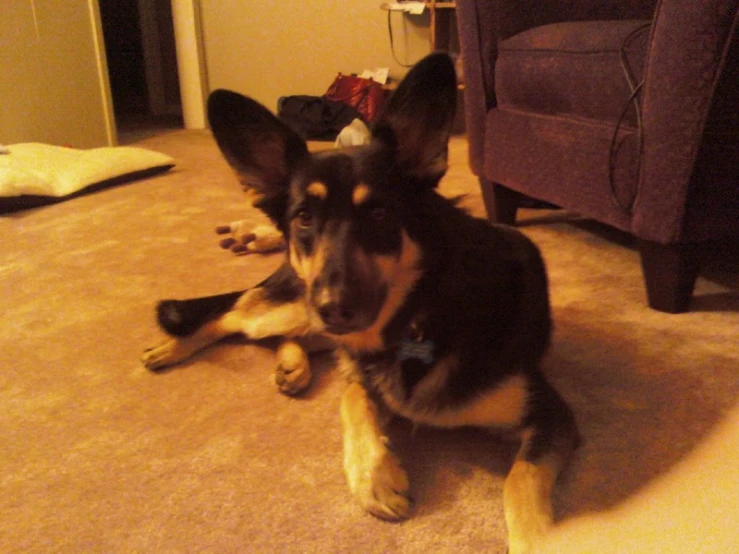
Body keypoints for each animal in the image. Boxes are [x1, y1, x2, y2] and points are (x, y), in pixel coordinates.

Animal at [139, 52, 580, 552]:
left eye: (381, 214)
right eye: (304, 217)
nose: (335, 307)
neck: (416, 316)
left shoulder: (548, 416)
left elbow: (519, 480)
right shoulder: (355, 358)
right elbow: (353, 397)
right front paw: (374, 475)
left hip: (304, 315)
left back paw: (291, 365)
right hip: (294, 305)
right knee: (233, 314)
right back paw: (171, 348)